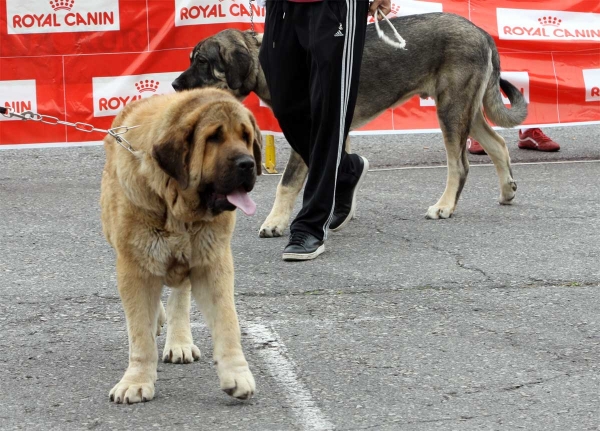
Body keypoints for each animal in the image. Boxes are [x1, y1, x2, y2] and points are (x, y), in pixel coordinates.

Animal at [172, 13, 524, 238]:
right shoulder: (337, 130)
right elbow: (341, 168)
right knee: (498, 144)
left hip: (452, 109)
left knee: (459, 164)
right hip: (467, 110)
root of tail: (482, 33)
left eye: (201, 61)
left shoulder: (309, 132)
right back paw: (507, 190)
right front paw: (341, 209)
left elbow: (288, 183)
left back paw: (445, 206)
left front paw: (276, 222)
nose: (175, 84)